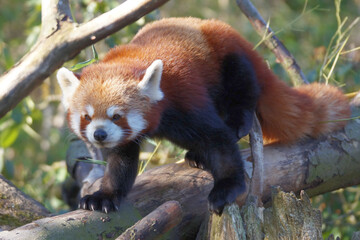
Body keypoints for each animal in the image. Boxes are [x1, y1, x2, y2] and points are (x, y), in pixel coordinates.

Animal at [56, 17, 348, 215]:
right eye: (87, 117)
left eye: (117, 116)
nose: (100, 135)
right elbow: (121, 162)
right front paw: (105, 195)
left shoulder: (184, 101)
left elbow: (218, 141)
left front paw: (227, 188)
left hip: (228, 59)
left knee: (243, 88)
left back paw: (236, 123)